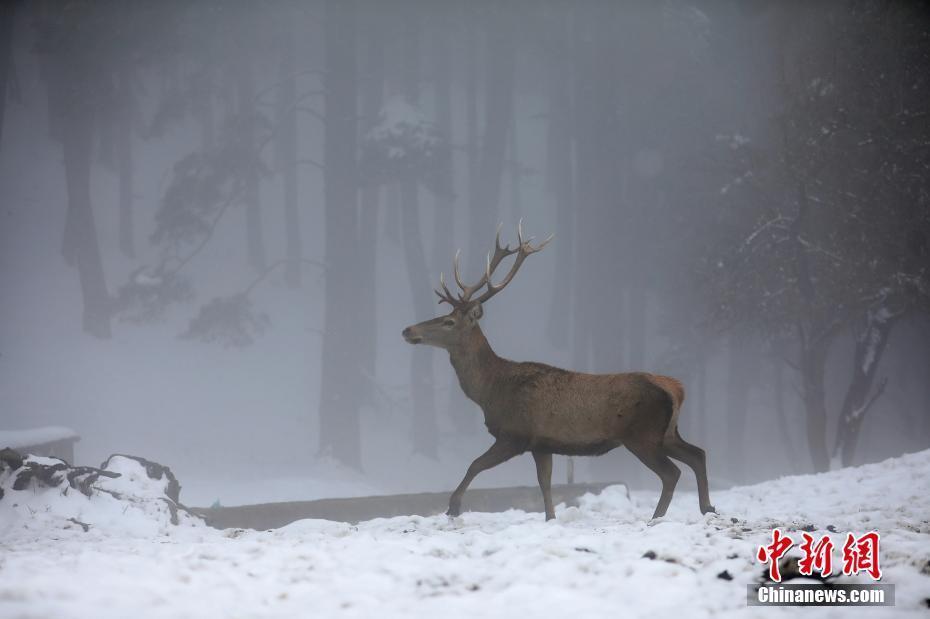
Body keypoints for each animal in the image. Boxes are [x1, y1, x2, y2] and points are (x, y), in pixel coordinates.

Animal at [396, 223, 712, 524]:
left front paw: (453, 507)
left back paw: (658, 517)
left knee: (672, 472)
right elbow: (544, 482)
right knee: (698, 454)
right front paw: (550, 517)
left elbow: (475, 464)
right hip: (667, 432)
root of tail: (676, 388)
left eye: (448, 322)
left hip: (642, 434)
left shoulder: (515, 434)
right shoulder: (542, 443)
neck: (490, 391)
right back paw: (707, 508)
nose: (407, 330)